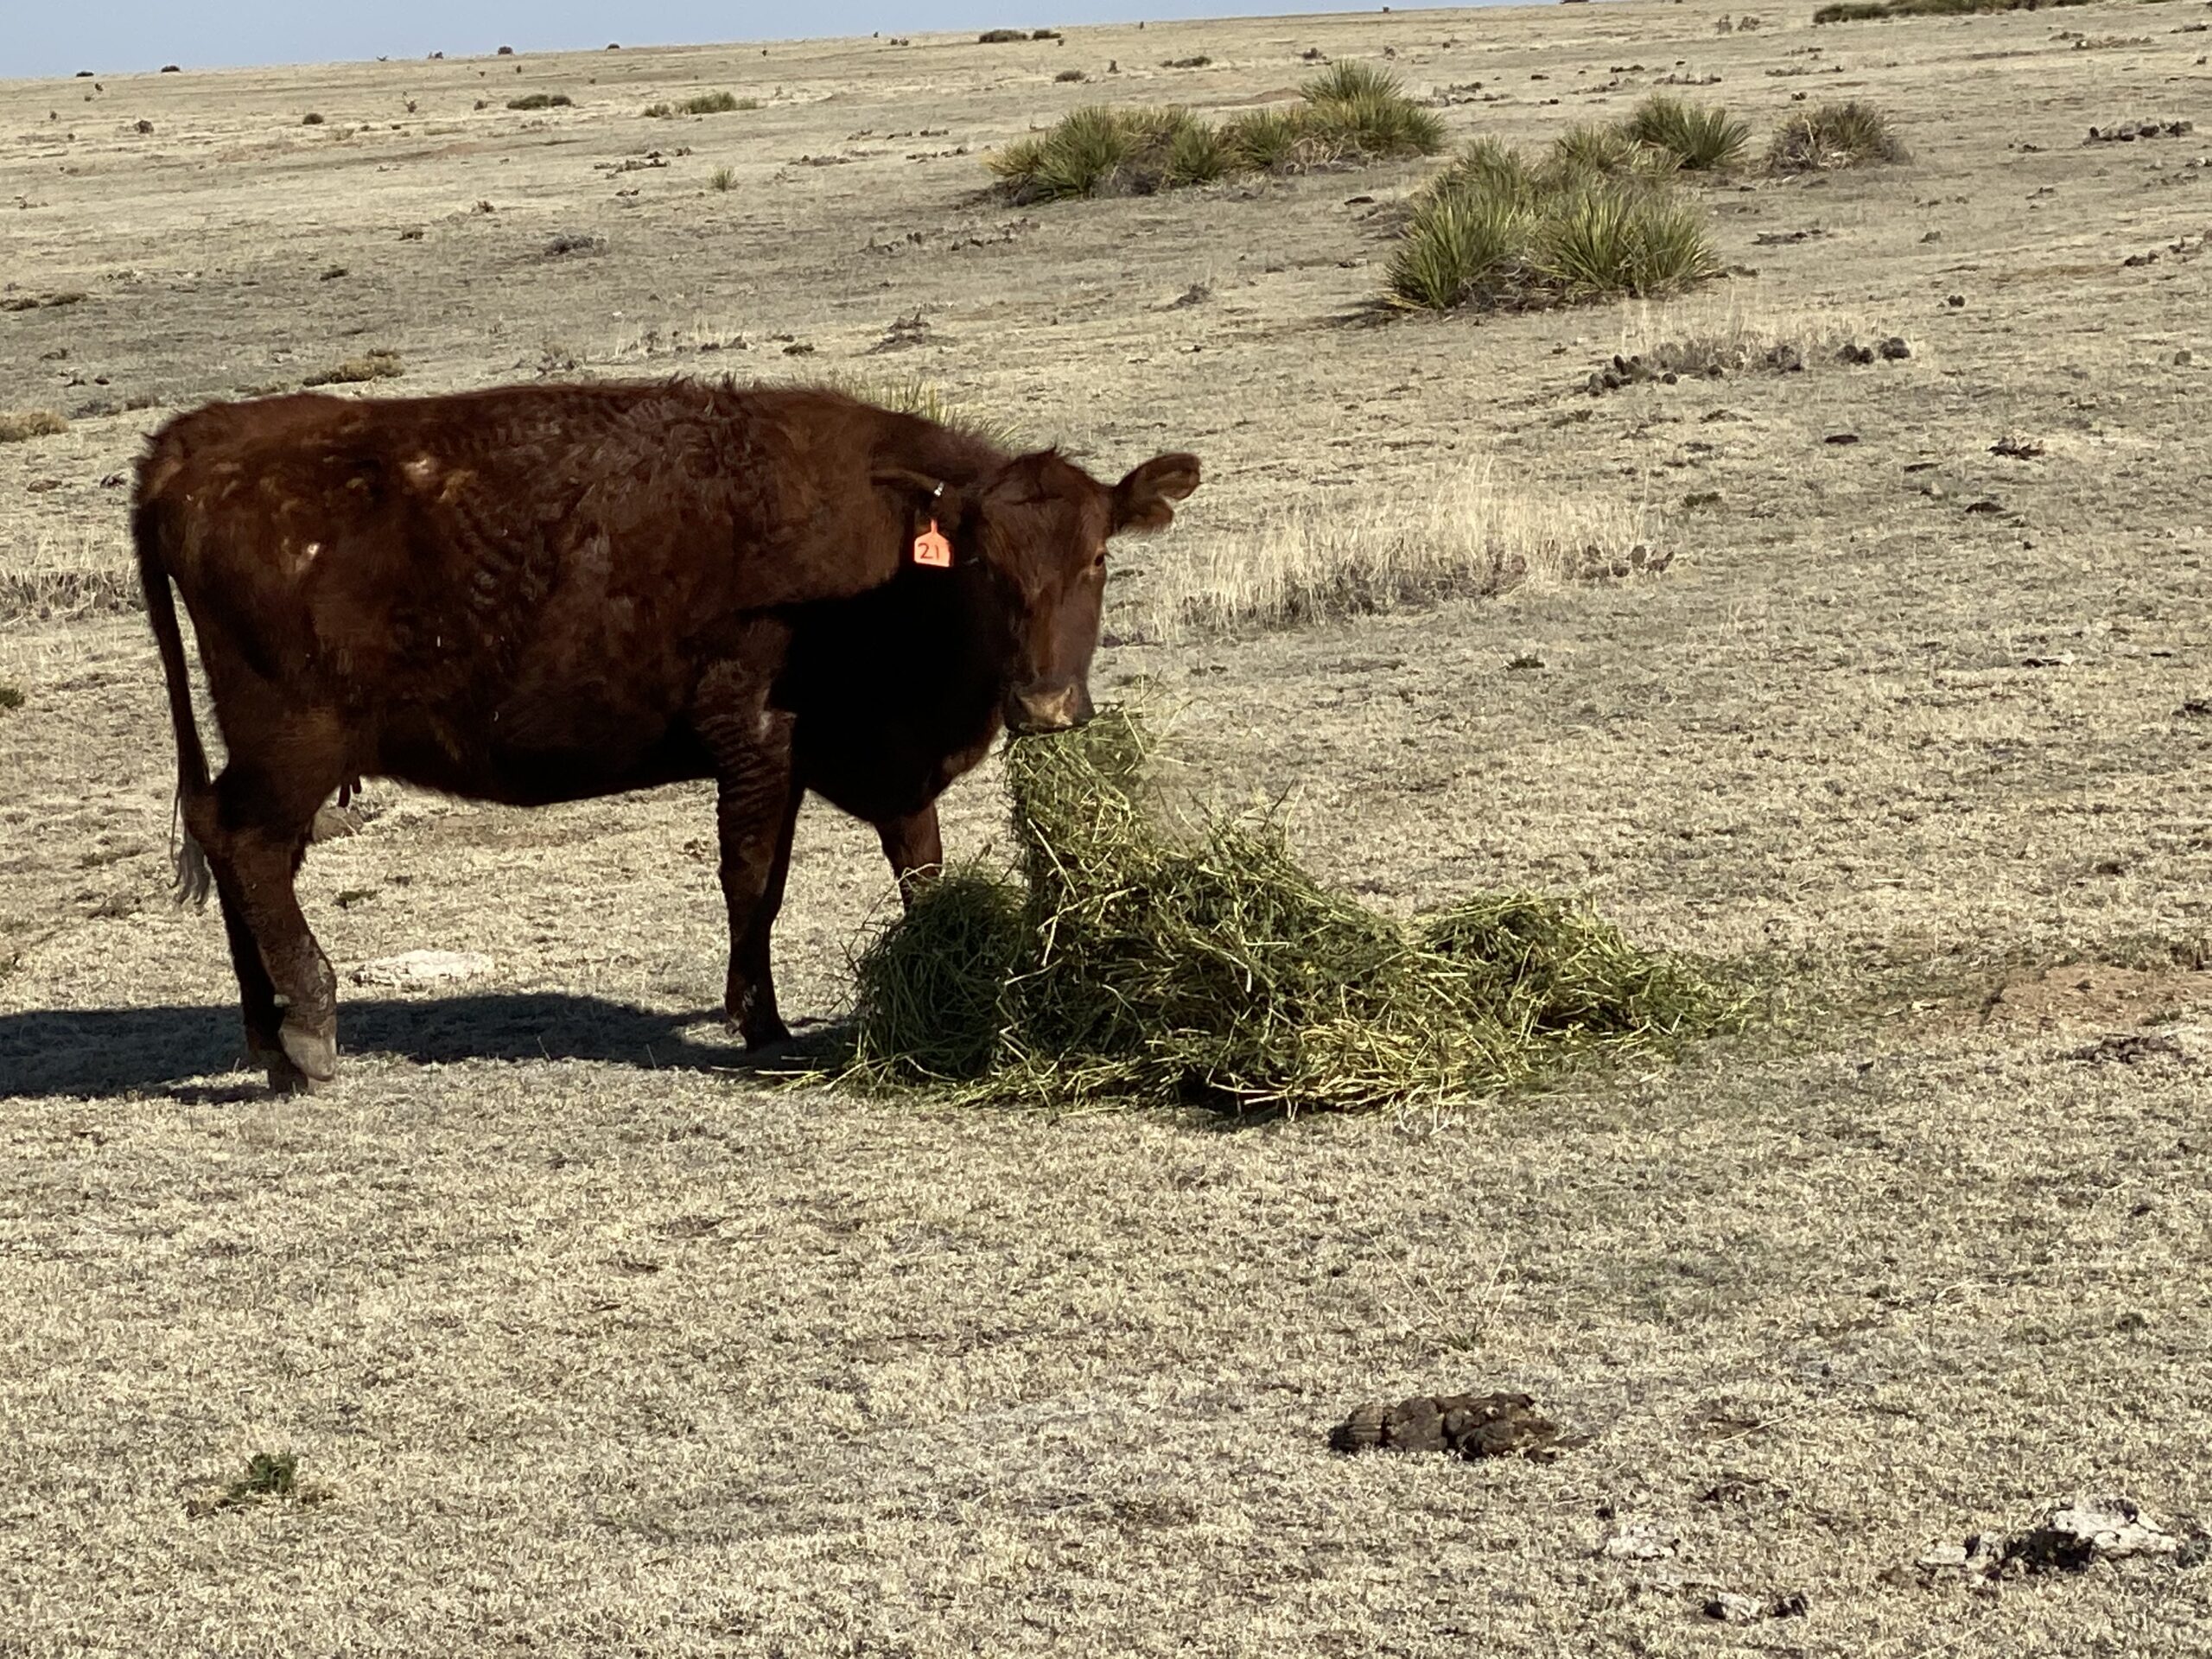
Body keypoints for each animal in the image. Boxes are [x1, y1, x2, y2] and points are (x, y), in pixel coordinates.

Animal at [133, 380, 1200, 1093]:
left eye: (1098, 559)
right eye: (984, 564)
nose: (1045, 706)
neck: (881, 565)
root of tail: (209, 436)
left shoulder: (876, 769)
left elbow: (918, 869)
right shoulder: (758, 739)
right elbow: (753, 880)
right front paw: (761, 1020)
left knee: (236, 848)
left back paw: (268, 1038)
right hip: (295, 747)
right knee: (251, 846)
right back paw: (312, 1032)